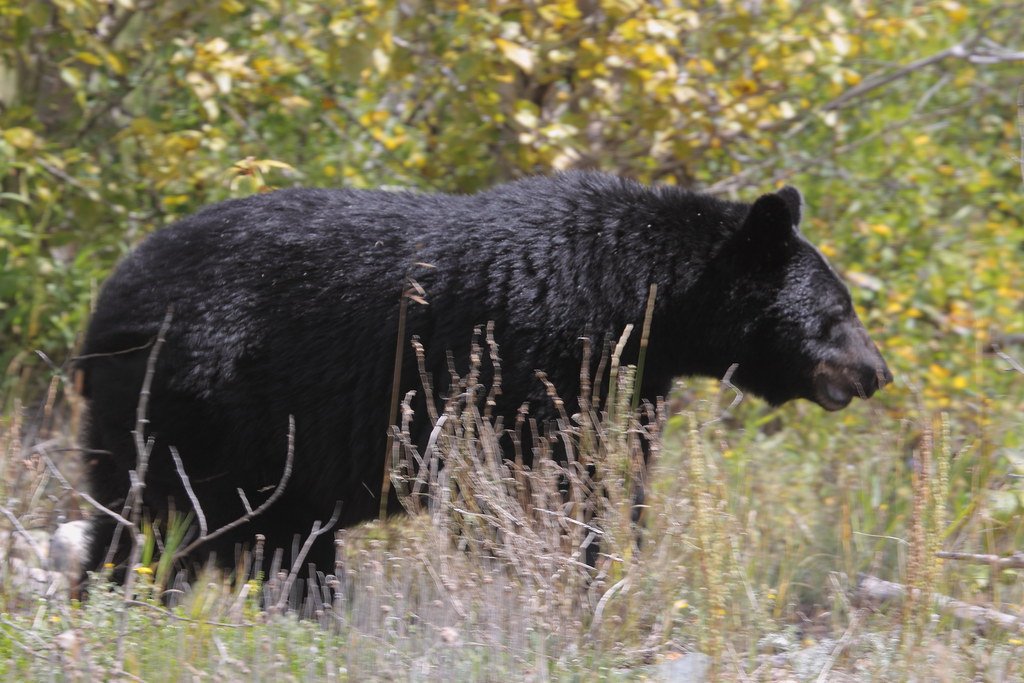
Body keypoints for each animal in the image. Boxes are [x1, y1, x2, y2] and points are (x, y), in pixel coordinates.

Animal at [68, 172, 891, 583]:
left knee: (281, 545)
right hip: (193, 407)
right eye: (838, 311)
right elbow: (541, 488)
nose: (878, 372)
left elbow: (606, 475)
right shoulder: (535, 361)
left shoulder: (622, 379)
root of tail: (107, 301)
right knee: (151, 522)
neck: (642, 297)